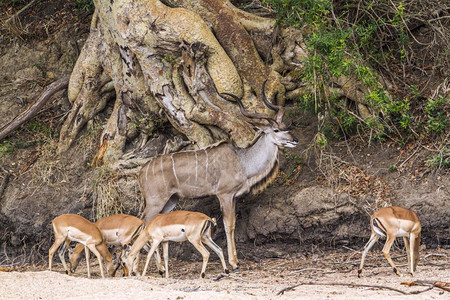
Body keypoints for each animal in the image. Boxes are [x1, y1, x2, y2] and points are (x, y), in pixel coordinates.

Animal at [139, 81, 298, 270]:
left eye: (285, 127)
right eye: (276, 129)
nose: (294, 140)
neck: (242, 161)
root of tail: (142, 170)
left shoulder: (234, 196)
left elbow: (233, 224)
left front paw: (235, 260)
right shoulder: (224, 194)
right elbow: (228, 224)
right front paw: (234, 263)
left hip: (171, 200)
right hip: (156, 201)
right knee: (144, 223)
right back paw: (157, 267)